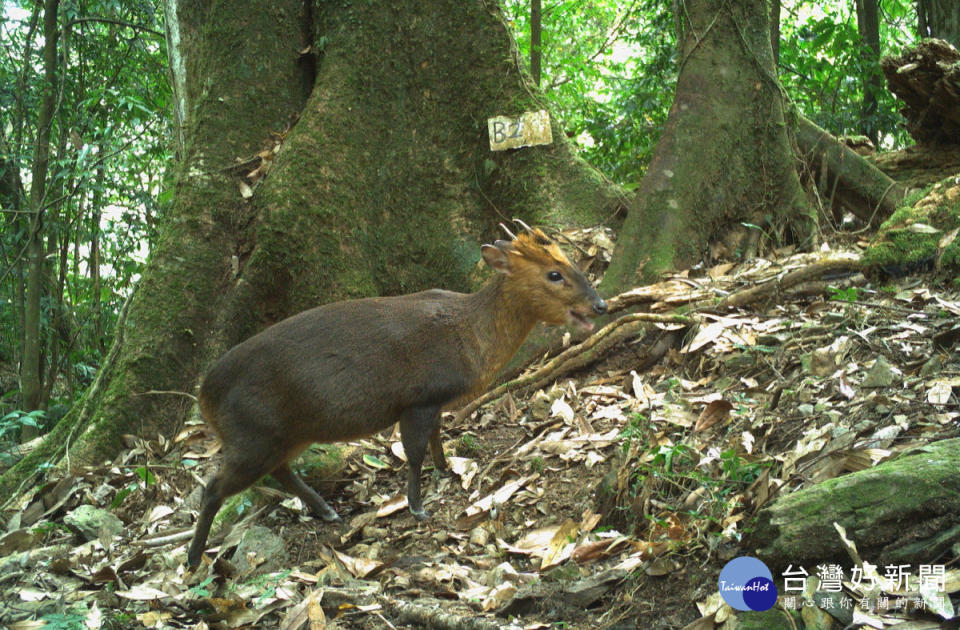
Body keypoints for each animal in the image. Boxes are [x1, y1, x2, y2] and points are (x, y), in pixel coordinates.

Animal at [187, 226, 604, 568]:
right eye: (554, 274)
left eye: (572, 262)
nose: (600, 305)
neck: (472, 335)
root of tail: (204, 397)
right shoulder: (418, 399)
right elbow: (414, 453)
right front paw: (418, 507)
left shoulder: (435, 401)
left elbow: (437, 437)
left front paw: (446, 470)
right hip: (252, 435)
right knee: (213, 488)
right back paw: (193, 560)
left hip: (285, 435)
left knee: (279, 472)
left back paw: (328, 512)